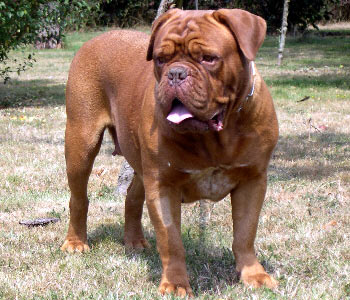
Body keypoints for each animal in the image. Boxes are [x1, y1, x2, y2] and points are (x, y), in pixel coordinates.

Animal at [60, 8, 278, 296]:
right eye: (161, 59)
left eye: (208, 58)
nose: (175, 74)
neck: (217, 136)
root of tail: (97, 39)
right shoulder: (163, 186)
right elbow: (171, 240)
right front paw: (175, 284)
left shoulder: (252, 181)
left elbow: (245, 233)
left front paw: (254, 275)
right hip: (81, 143)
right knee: (79, 198)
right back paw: (76, 242)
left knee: (132, 196)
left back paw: (134, 241)